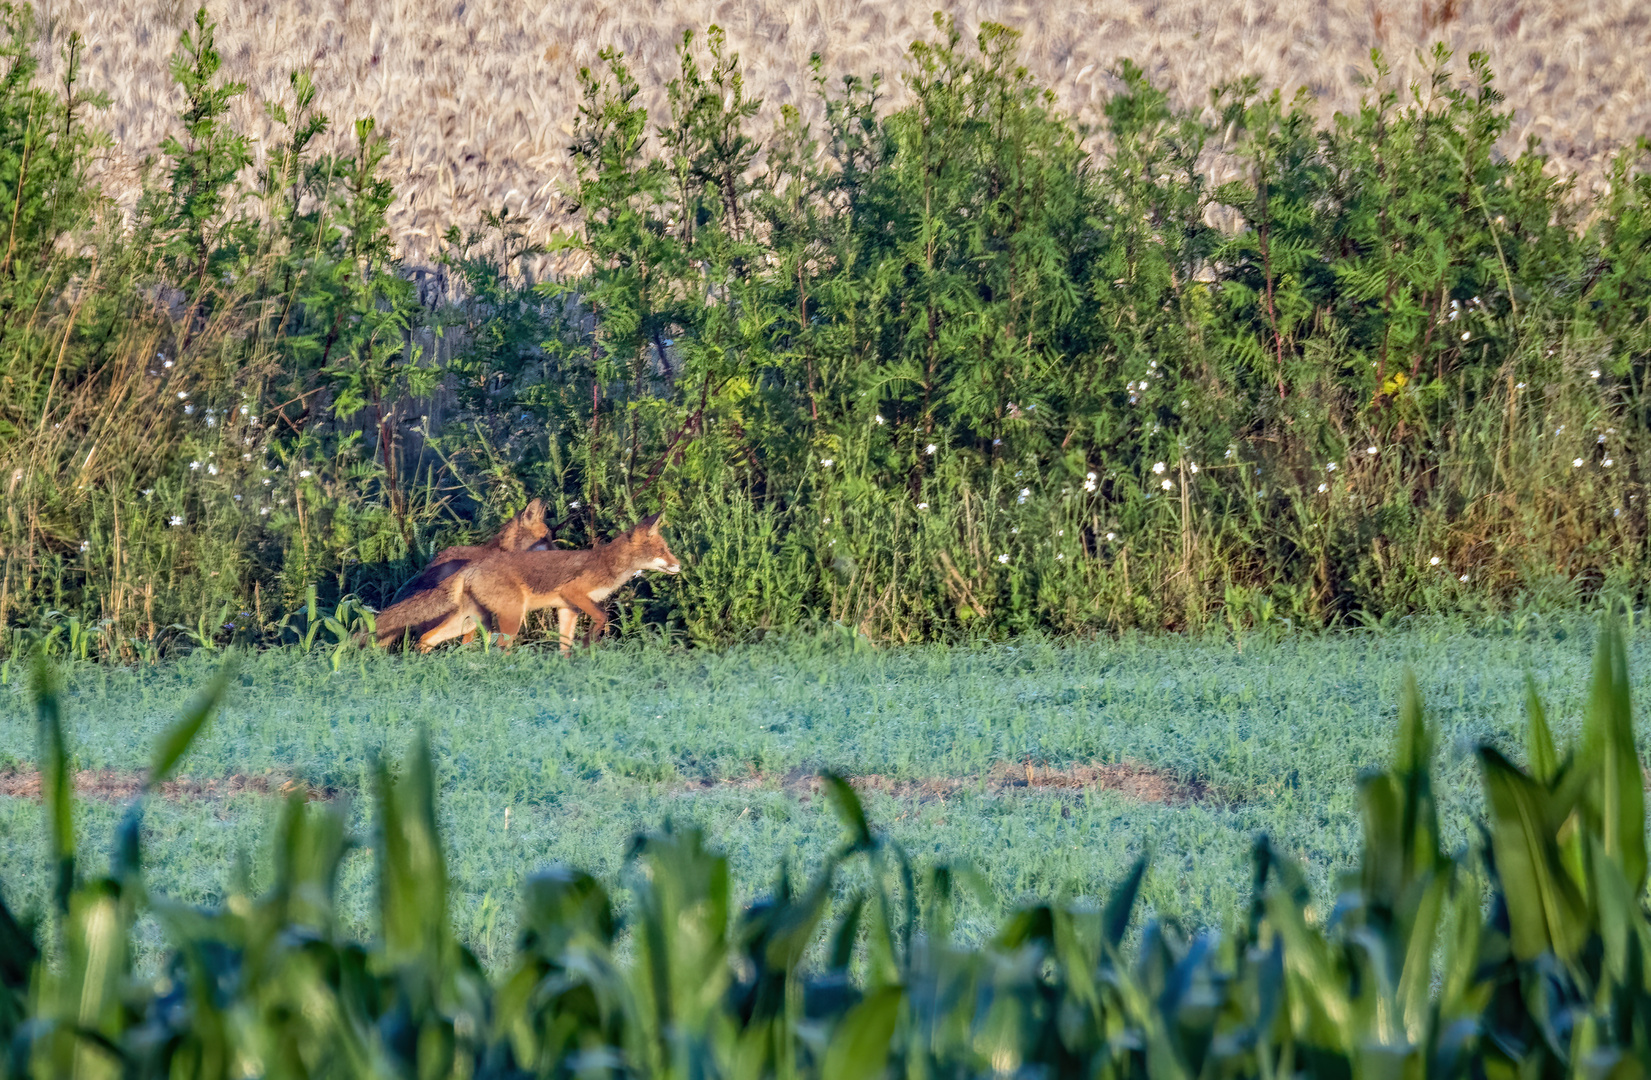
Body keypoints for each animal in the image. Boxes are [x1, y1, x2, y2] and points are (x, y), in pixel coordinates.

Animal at [371, 518, 680, 660]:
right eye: (663, 551)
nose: (679, 565)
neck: (605, 563)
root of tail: (474, 565)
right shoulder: (574, 592)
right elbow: (602, 616)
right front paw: (590, 640)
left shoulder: (567, 609)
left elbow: (565, 645)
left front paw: (568, 662)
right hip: (511, 618)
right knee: (501, 647)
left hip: (471, 619)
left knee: (427, 638)